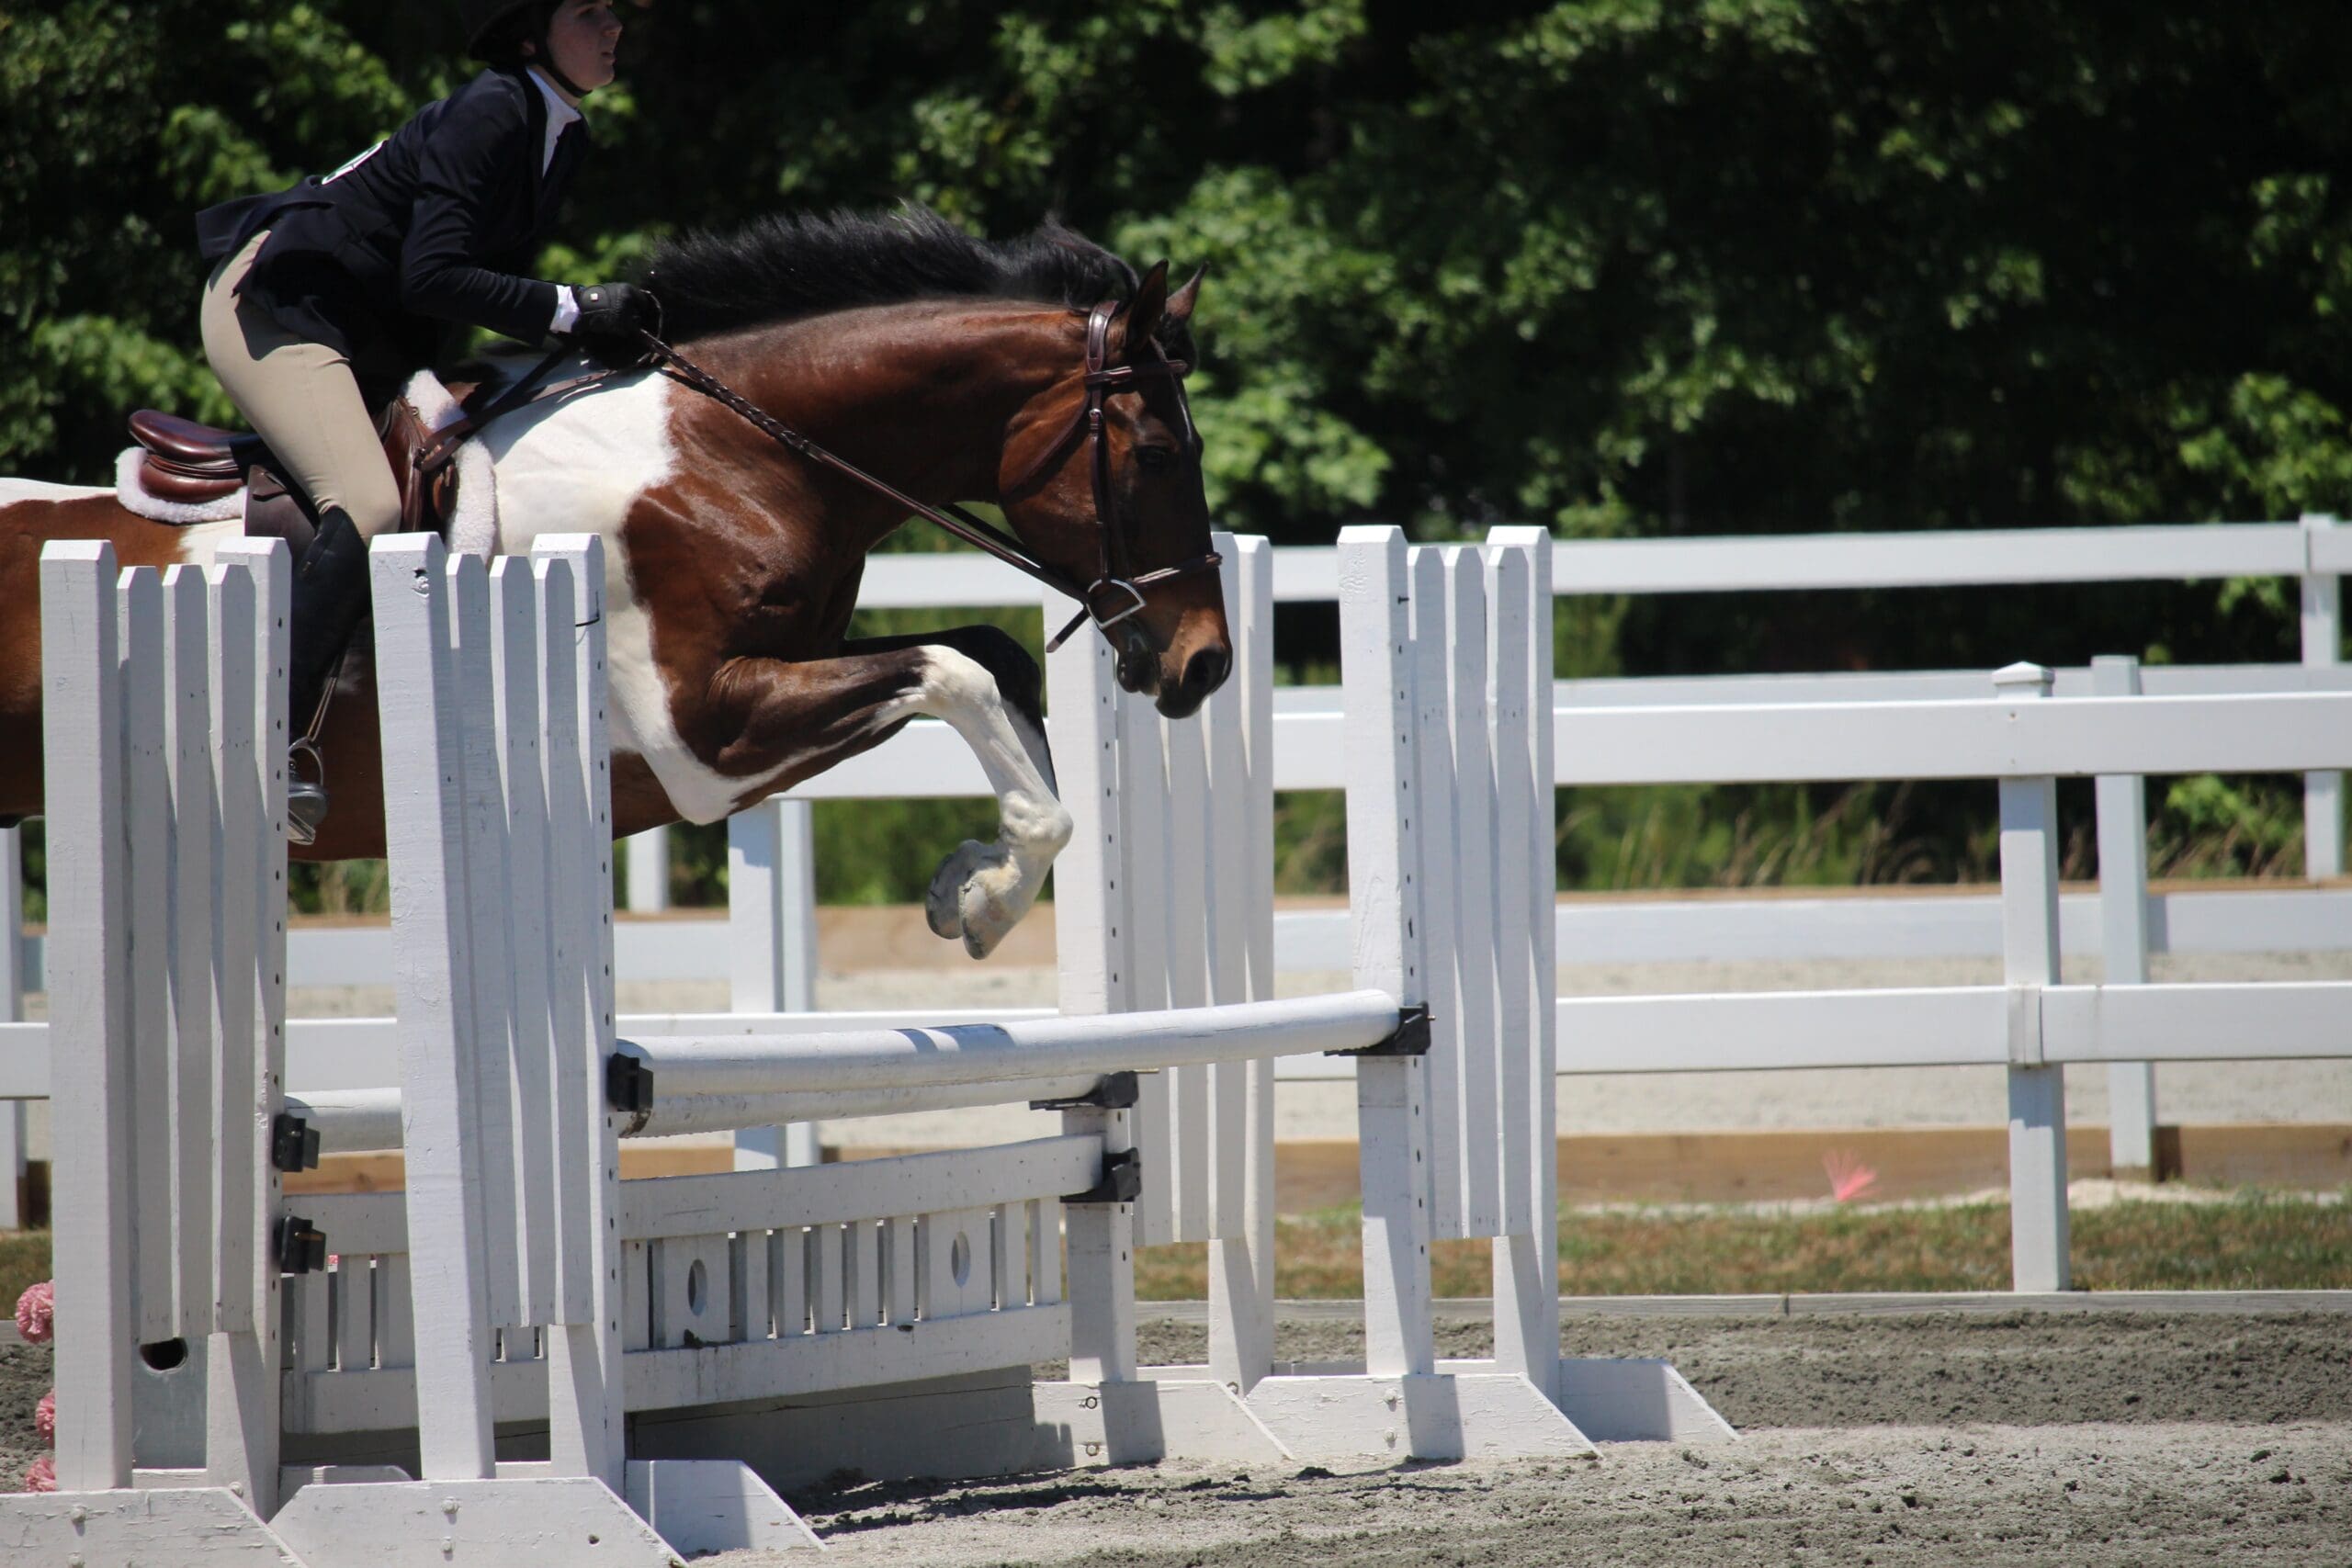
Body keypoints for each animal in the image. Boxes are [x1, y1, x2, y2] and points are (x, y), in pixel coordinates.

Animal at [0, 210, 1231, 959]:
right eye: (1156, 454)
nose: (1205, 663)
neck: (735, 452)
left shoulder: (783, 666)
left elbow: (997, 663)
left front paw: (973, 885)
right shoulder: (702, 739)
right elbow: (951, 671)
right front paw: (981, 899)